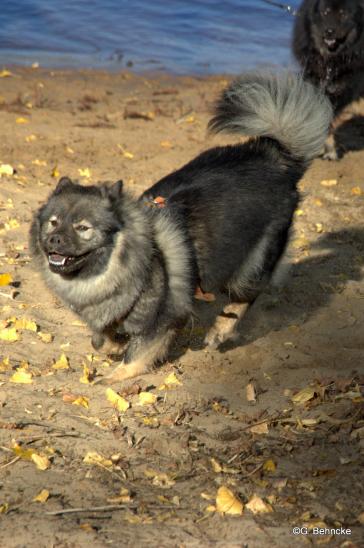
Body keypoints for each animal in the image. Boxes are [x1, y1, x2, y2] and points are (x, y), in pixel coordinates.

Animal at [29, 70, 332, 384]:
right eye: (53, 223)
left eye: (83, 228)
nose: (54, 241)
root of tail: (278, 160)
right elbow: (101, 339)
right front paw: (113, 346)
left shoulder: (161, 319)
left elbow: (136, 355)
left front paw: (113, 377)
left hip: (251, 264)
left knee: (245, 298)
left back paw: (220, 330)